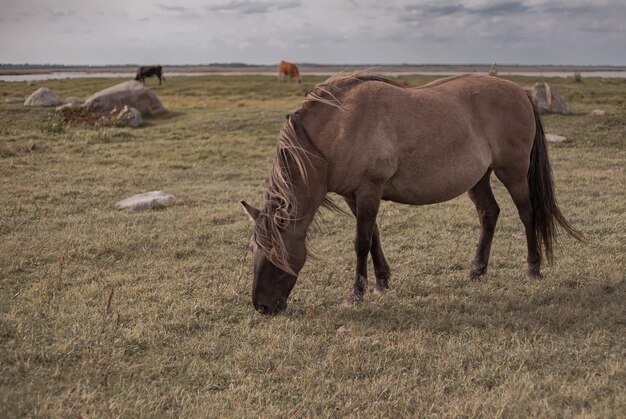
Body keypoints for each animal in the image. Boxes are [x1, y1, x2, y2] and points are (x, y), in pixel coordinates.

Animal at [241, 73, 584, 316]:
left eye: (276, 253)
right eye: (255, 249)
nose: (262, 306)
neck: (340, 126)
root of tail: (521, 93)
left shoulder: (370, 189)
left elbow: (361, 242)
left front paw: (357, 292)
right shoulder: (355, 195)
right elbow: (373, 236)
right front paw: (382, 281)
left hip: (512, 172)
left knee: (527, 215)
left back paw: (533, 268)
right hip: (479, 178)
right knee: (489, 214)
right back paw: (477, 271)